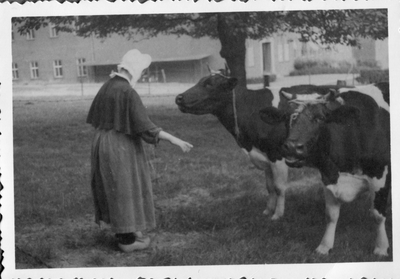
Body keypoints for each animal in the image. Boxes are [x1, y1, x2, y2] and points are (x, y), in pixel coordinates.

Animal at [175, 70, 344, 223]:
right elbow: (269, 187)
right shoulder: (265, 157)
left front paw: (278, 214)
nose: (178, 97)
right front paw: (267, 210)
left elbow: (279, 187)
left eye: (209, 84)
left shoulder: (278, 155)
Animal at [260, 82, 390, 256]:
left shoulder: (381, 174)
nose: (292, 147)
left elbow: (378, 215)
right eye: (287, 118)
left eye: (320, 118)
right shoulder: (328, 176)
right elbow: (331, 215)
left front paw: (381, 247)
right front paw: (325, 245)